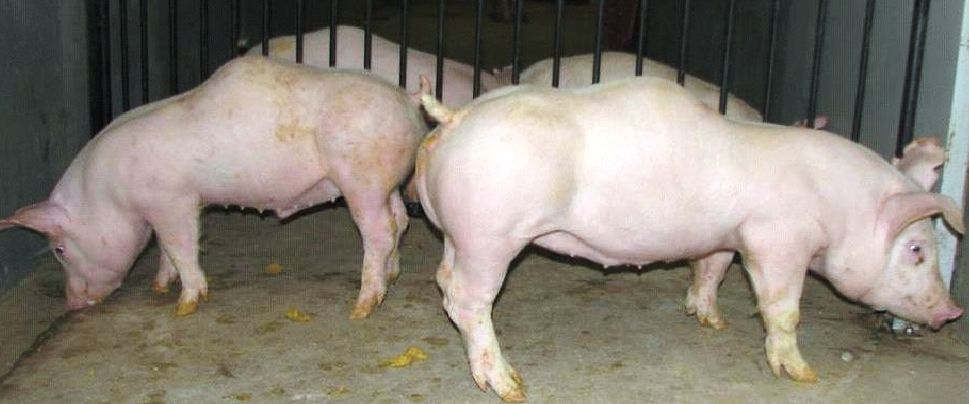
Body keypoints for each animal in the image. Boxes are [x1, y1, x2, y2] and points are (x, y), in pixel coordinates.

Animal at [0, 56, 428, 319]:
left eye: (59, 249)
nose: (71, 304)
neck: (109, 194)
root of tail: (407, 97)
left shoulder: (174, 200)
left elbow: (181, 246)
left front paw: (184, 306)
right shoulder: (162, 208)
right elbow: (164, 250)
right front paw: (159, 287)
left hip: (362, 177)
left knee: (379, 230)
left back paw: (361, 308)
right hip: (384, 182)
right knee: (400, 221)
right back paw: (391, 277)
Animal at [414, 77, 964, 401]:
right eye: (917, 250)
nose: (952, 311)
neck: (837, 204)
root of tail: (454, 117)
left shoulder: (725, 235)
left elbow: (712, 269)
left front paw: (712, 321)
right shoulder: (777, 239)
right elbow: (781, 308)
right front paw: (802, 374)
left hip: (460, 234)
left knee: (443, 279)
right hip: (491, 235)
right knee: (467, 299)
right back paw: (509, 386)